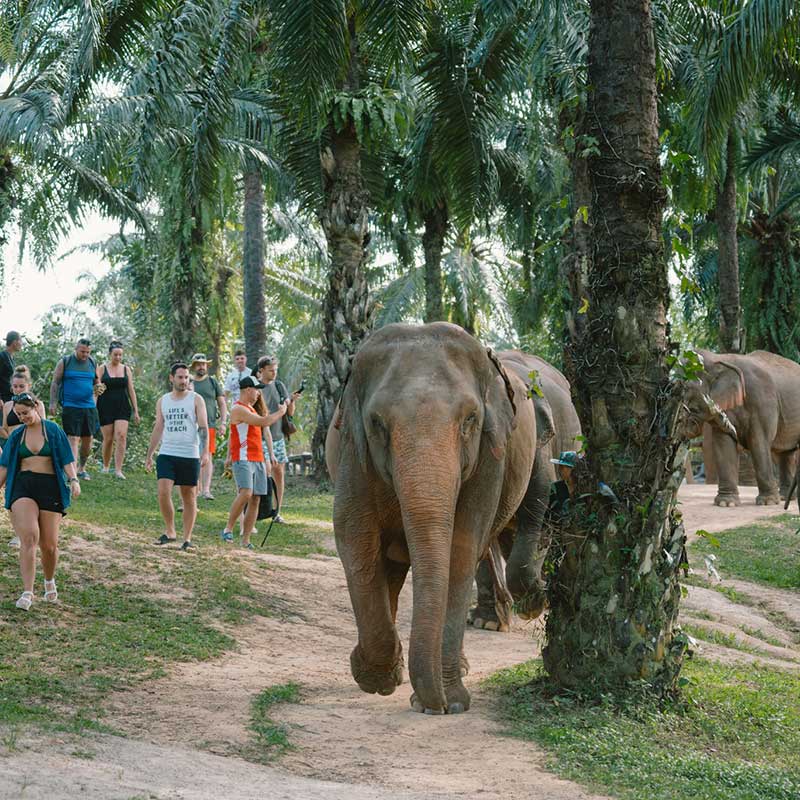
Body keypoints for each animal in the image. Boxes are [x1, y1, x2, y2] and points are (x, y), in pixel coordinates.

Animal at [326, 322, 540, 715]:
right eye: (377, 423)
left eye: (470, 420)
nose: (434, 704)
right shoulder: (353, 453)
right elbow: (355, 539)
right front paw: (377, 680)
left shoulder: (489, 459)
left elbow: (462, 545)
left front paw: (450, 702)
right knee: (389, 569)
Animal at [682, 349, 800, 506]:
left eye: (686, 389)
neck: (719, 359)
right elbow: (723, 443)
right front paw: (726, 503)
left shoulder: (763, 400)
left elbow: (759, 442)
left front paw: (767, 502)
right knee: (786, 453)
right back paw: (784, 498)